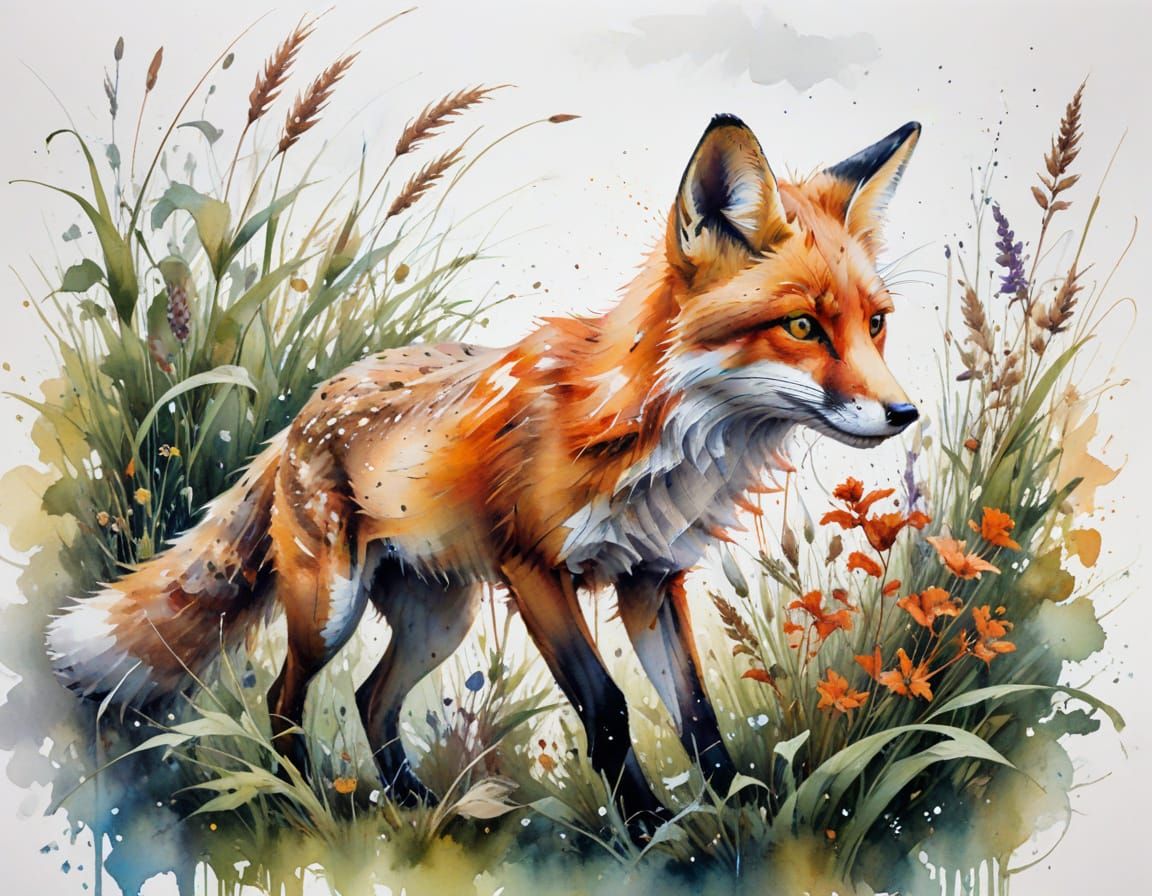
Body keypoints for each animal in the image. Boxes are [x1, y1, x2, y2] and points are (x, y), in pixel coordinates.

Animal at [48, 114, 921, 827]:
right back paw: (304, 806)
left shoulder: (651, 580)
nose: (905, 413)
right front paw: (650, 830)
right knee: (283, 697)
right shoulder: (535, 569)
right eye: (802, 326)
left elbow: (697, 718)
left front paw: (741, 822)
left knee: (370, 699)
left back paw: (413, 803)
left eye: (877, 325)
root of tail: (305, 410)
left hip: (442, 618)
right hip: (331, 607)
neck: (648, 432)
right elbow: (608, 711)